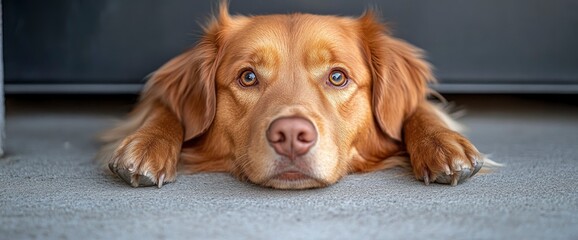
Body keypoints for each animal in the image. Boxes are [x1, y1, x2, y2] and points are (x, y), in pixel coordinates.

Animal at [101, 2, 488, 189]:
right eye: (248, 77)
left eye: (337, 76)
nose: (290, 136)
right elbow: (166, 109)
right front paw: (147, 145)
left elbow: (416, 109)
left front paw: (442, 144)